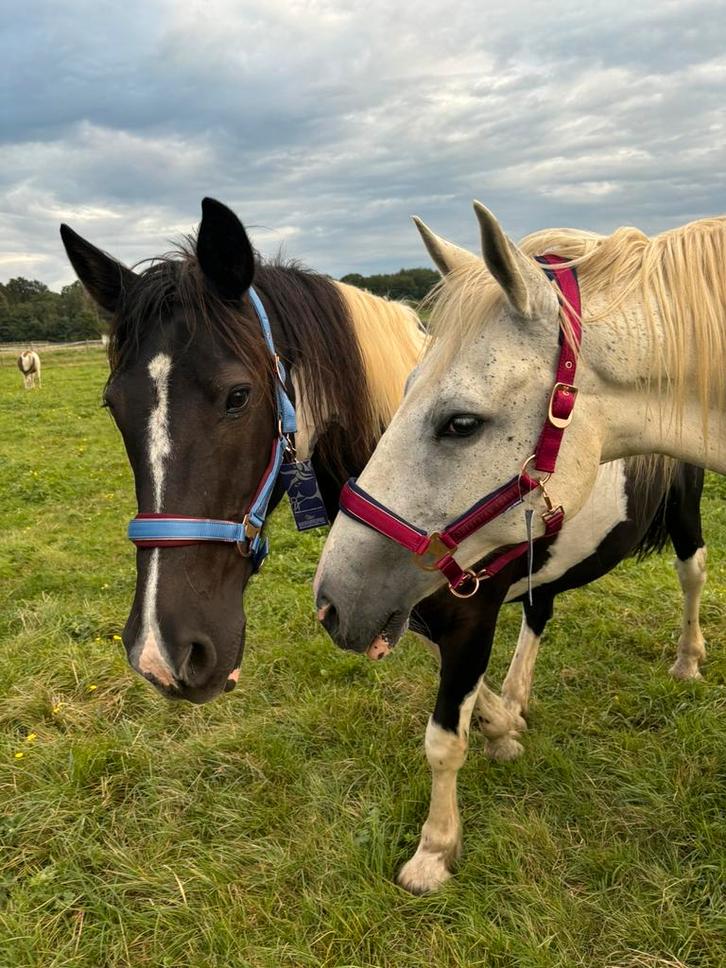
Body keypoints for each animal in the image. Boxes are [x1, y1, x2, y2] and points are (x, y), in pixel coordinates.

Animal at [315, 204, 724, 890]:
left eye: (461, 423)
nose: (331, 603)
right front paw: (505, 728)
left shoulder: (468, 619)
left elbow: (443, 737)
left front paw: (434, 851)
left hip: (686, 515)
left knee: (692, 574)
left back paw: (687, 659)